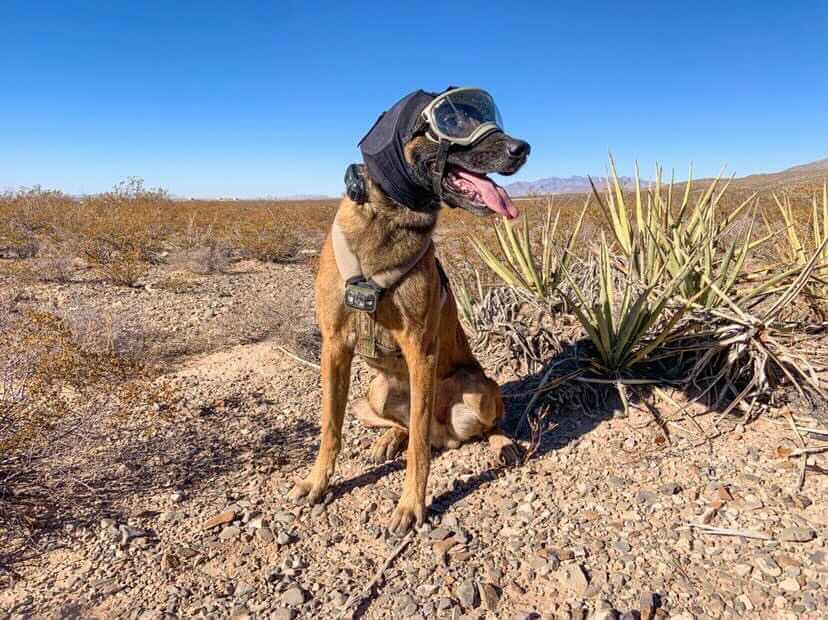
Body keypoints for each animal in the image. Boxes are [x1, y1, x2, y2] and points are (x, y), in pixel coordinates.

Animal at [290, 87, 532, 532]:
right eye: (454, 121)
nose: (522, 148)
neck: (389, 220)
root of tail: (446, 436)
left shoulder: (420, 349)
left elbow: (418, 446)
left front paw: (410, 505)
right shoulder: (334, 346)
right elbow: (331, 426)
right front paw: (317, 482)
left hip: (480, 388)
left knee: (479, 427)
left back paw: (502, 444)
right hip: (376, 392)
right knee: (401, 424)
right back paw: (389, 439)